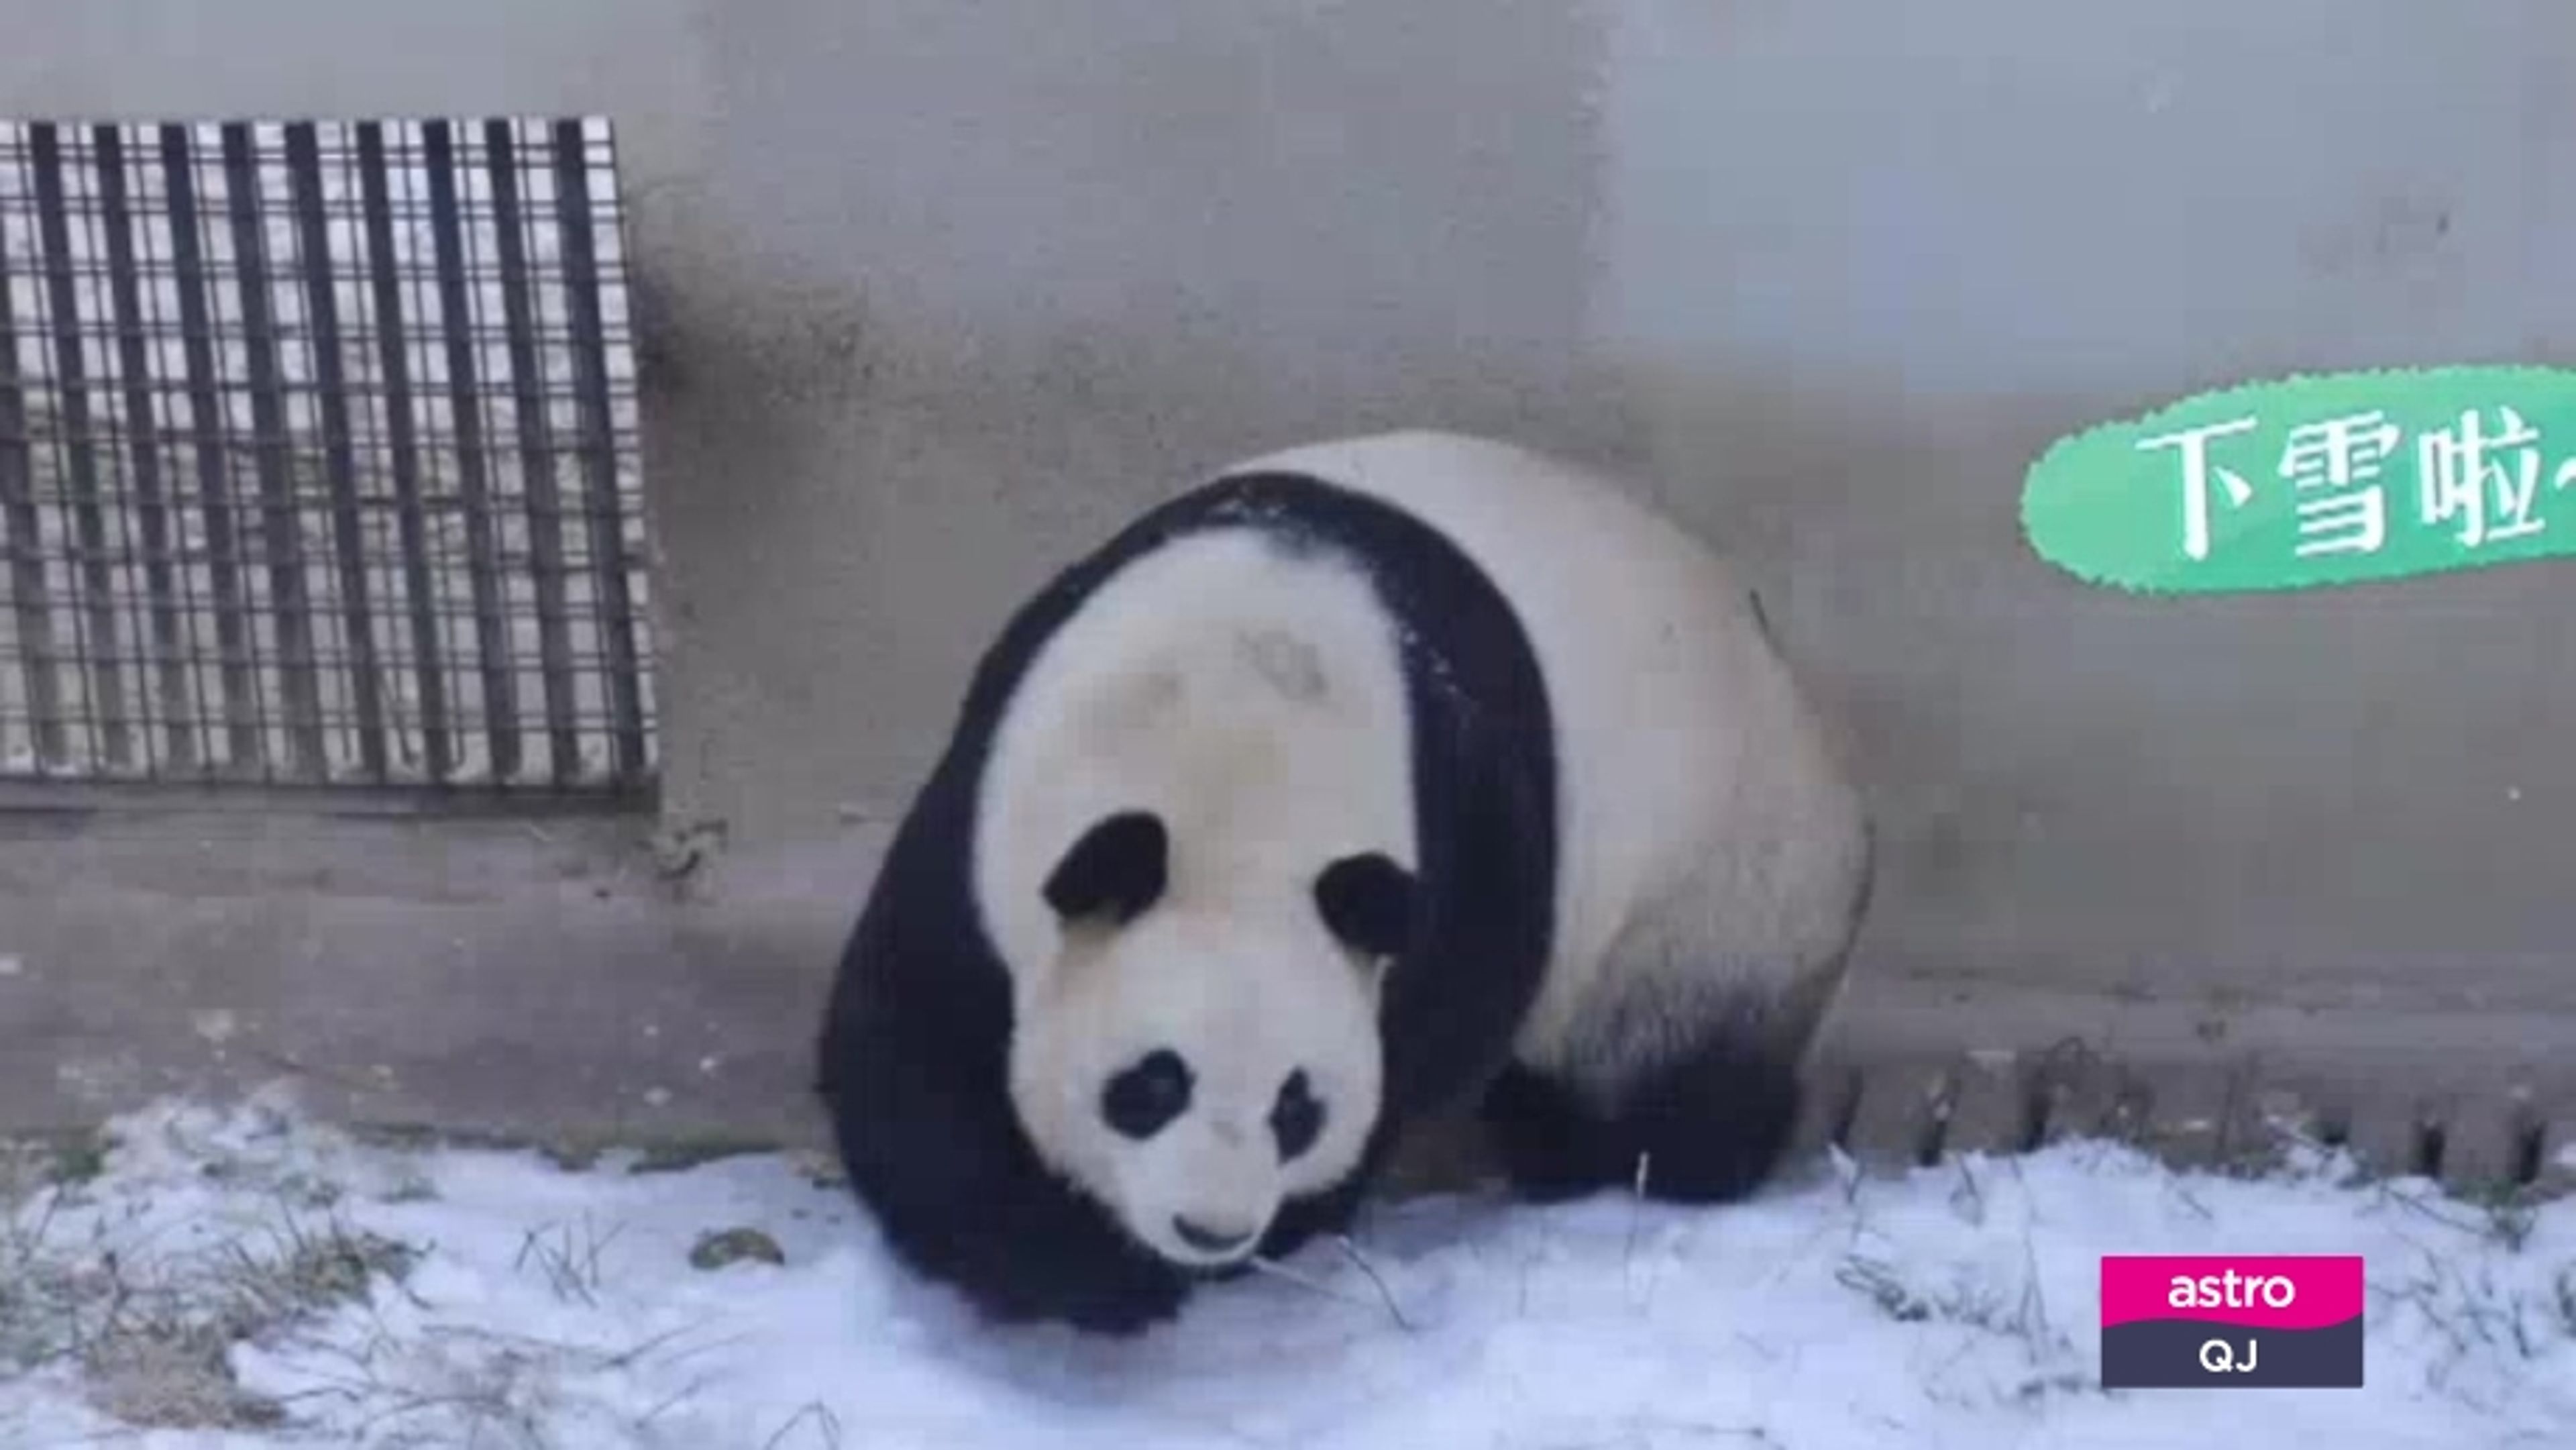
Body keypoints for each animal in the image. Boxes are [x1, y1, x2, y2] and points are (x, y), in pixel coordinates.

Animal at [814, 429, 1874, 1336]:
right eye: (1152, 1083)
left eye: (1296, 1105)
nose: (1209, 1229)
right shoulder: (991, 810)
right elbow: (912, 1035)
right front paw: (1069, 1263)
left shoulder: (1465, 834)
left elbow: (1419, 1045)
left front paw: (1217, 1245)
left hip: (1718, 894)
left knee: (1672, 1080)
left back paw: (1644, 1164)